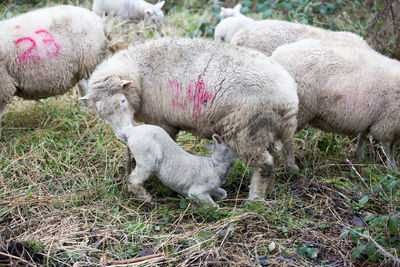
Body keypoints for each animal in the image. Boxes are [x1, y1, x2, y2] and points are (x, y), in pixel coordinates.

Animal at [0, 5, 107, 139]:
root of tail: (95, 18)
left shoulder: (4, 88)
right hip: (82, 67)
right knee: (84, 86)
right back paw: (87, 110)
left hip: (91, 61)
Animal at [83, 37, 296, 201]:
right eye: (101, 113)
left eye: (122, 101)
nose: (123, 135)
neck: (140, 72)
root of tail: (291, 100)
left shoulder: (164, 121)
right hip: (265, 130)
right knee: (274, 157)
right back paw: (268, 190)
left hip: (248, 131)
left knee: (265, 165)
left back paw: (254, 199)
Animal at [270, 39, 400, 173]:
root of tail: (277, 56)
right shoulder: (388, 123)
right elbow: (389, 147)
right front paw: (392, 169)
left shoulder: (373, 118)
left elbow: (363, 134)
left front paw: (359, 156)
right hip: (299, 110)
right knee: (286, 139)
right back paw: (291, 165)